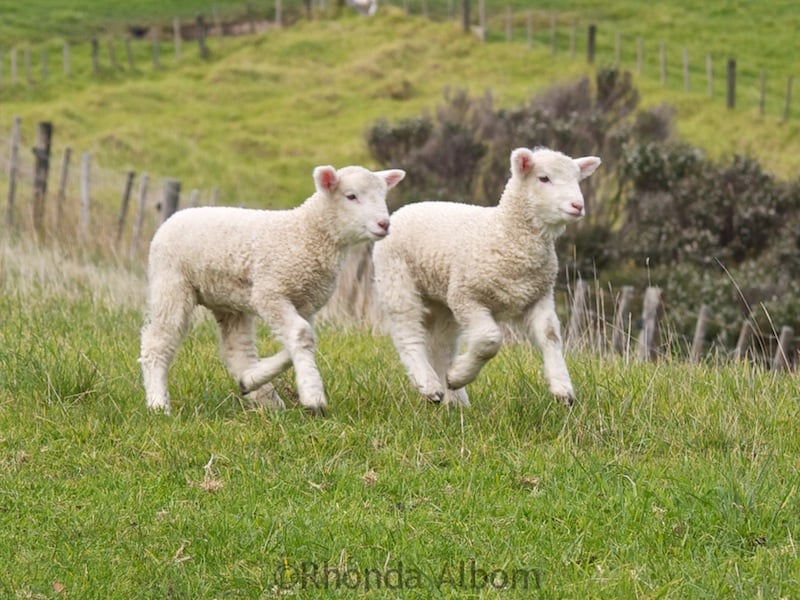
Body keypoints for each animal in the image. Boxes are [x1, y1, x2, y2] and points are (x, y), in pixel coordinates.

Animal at [140, 164, 405, 415]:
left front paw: (253, 380)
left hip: (229, 301)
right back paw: (158, 404)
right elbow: (302, 335)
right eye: (351, 196)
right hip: (171, 284)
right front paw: (313, 396)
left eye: (383, 196)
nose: (384, 224)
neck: (306, 233)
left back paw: (260, 393)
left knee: (238, 350)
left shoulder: (304, 303)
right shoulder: (270, 293)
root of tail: (176, 216)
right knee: (157, 343)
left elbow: (302, 339)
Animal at [372, 147, 600, 407]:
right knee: (408, 334)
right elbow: (489, 340)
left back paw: (455, 398)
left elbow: (550, 336)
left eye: (577, 179)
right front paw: (460, 375)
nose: (577, 205)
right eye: (544, 178)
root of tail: (405, 209)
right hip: (397, 281)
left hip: (442, 300)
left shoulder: (539, 296)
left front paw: (562, 389)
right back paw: (430, 385)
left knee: (442, 345)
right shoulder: (467, 296)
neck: (504, 232)